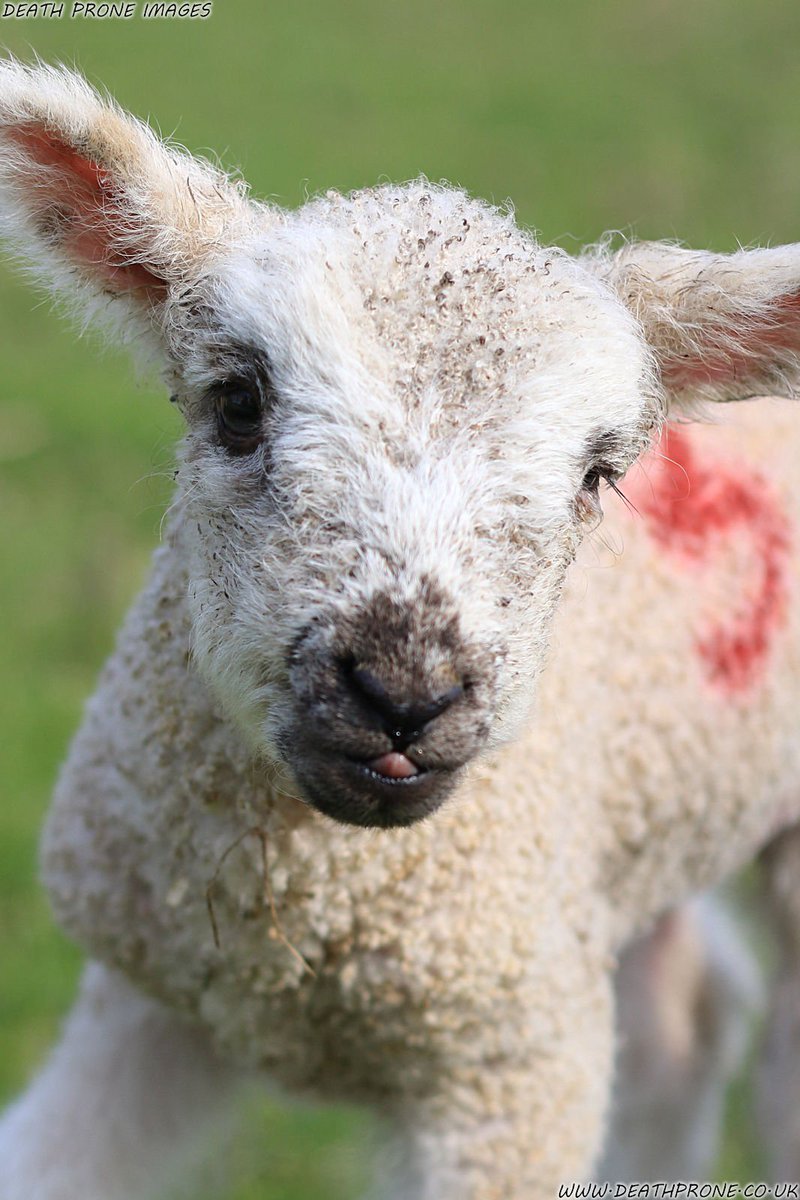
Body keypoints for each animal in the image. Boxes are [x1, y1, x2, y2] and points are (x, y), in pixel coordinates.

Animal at [0, 57, 799, 1199]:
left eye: (599, 476)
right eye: (236, 402)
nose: (403, 693)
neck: (310, 928)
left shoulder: (507, 1074)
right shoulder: (154, 999)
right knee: (680, 1023)